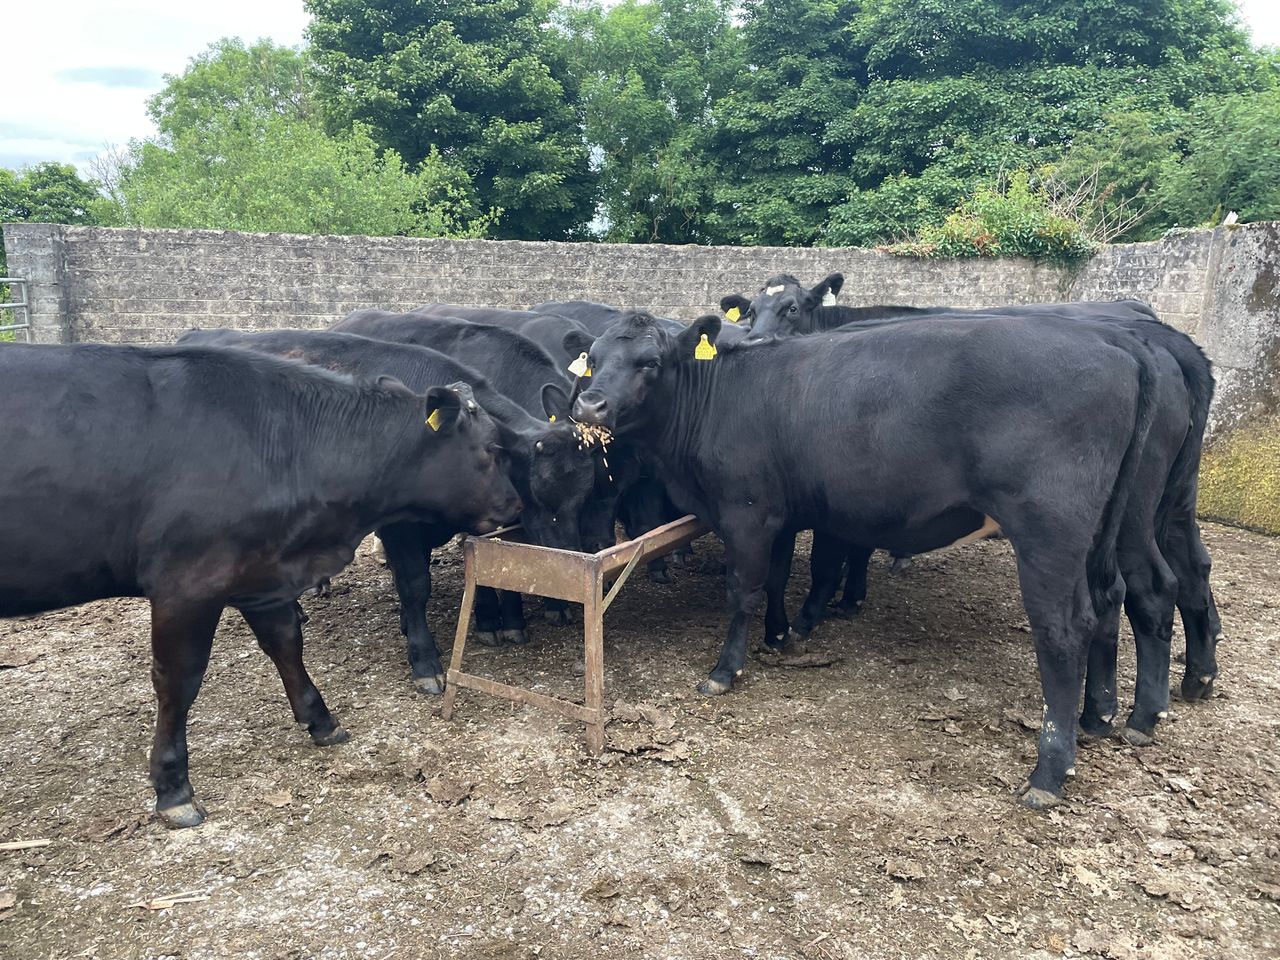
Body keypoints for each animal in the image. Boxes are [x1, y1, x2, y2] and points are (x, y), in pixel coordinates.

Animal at [0, 343, 520, 828]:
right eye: (492, 450)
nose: (516, 505)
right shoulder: (186, 586)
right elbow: (179, 681)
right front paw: (173, 787)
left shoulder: (261, 572)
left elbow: (286, 644)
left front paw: (321, 720)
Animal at [177, 328, 599, 690]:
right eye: (541, 493)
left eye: (583, 495)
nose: (570, 558)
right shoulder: (400, 527)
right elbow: (415, 585)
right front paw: (425, 660)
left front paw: (500, 622)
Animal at [569, 311, 1160, 807]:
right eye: (593, 358)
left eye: (650, 361)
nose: (589, 406)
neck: (723, 398)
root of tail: (1115, 342)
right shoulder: (783, 514)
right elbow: (777, 579)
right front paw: (779, 635)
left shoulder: (746, 511)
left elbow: (744, 589)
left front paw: (724, 669)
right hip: (1108, 529)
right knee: (1113, 599)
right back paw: (1100, 714)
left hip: (1048, 533)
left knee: (1064, 631)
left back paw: (1050, 771)